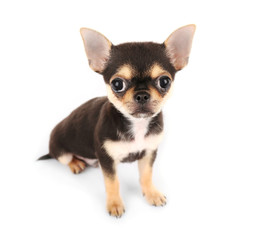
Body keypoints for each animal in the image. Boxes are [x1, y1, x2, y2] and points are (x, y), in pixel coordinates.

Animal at [38, 24, 196, 218]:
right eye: (117, 84)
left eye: (164, 81)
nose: (142, 94)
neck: (137, 125)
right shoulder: (106, 159)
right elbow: (112, 183)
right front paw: (114, 204)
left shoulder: (149, 152)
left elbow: (146, 175)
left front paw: (151, 193)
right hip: (61, 151)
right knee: (67, 158)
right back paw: (76, 163)